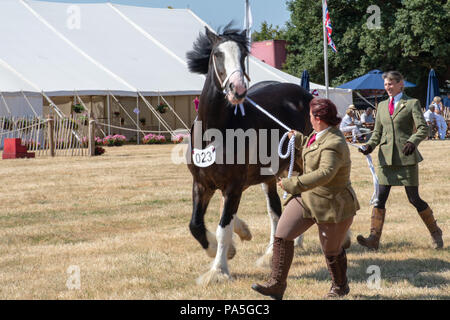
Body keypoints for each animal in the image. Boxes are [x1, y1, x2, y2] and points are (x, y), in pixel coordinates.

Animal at [185, 25, 312, 284]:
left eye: (243, 55)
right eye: (217, 54)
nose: (238, 89)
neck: (215, 131)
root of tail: (303, 92)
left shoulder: (234, 186)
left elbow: (223, 228)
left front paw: (219, 270)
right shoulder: (201, 184)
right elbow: (196, 225)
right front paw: (230, 245)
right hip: (272, 176)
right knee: (277, 212)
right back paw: (274, 251)